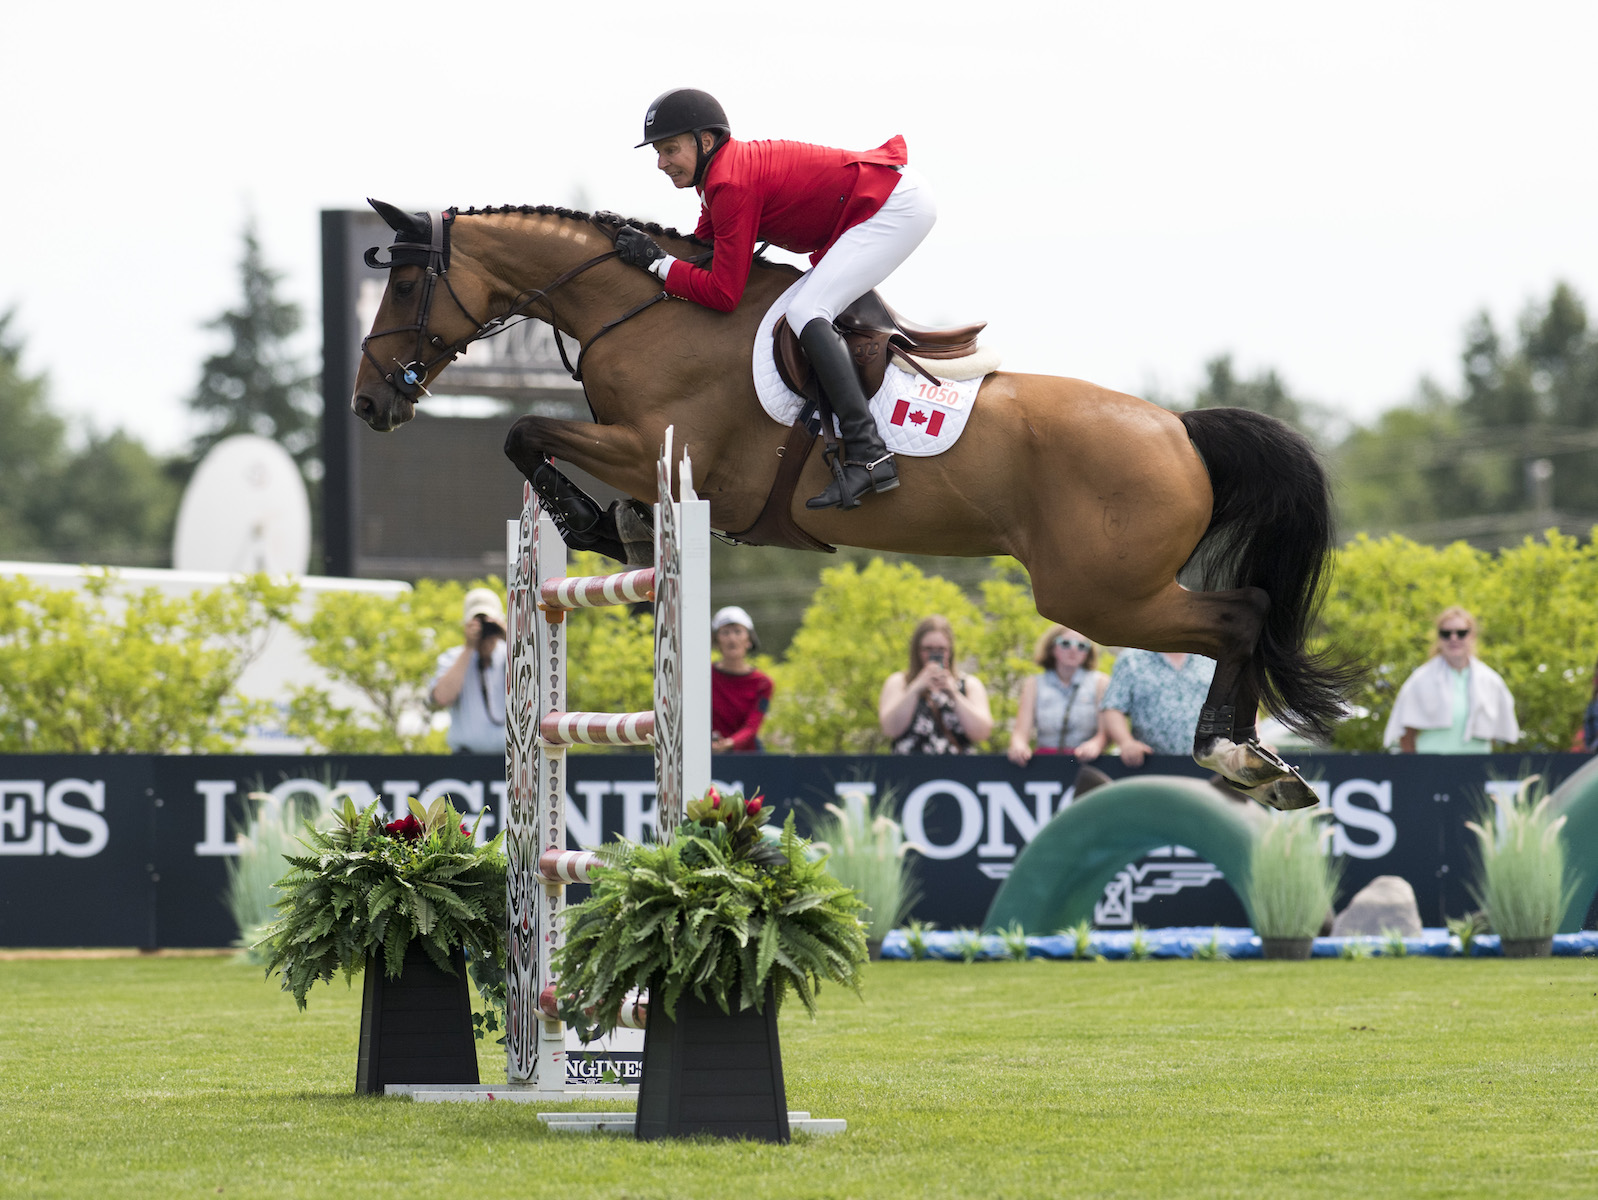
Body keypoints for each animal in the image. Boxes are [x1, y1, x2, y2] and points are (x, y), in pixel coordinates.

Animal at [353, 204, 1361, 808]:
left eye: (403, 282)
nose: (368, 403)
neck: (642, 311)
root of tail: (1180, 428)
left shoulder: (664, 450)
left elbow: (524, 429)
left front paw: (592, 522)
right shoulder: (647, 453)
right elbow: (544, 444)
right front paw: (619, 526)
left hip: (1099, 595)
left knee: (1242, 615)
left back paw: (1237, 756)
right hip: (1109, 591)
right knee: (1244, 616)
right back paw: (1260, 761)